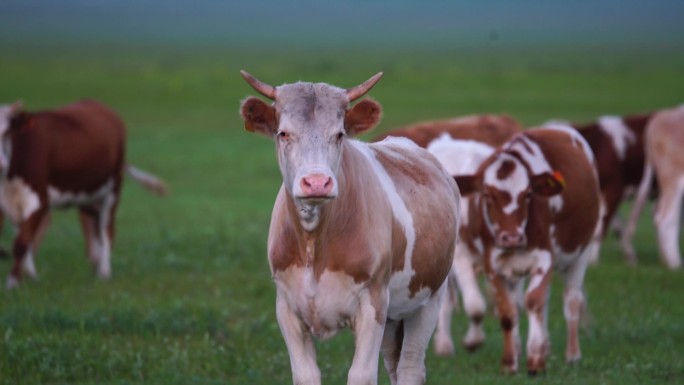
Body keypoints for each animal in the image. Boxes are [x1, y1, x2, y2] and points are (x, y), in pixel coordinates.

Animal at [0, 99, 168, 288]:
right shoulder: (9, 204)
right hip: (88, 197)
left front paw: (12, 282)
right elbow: (23, 240)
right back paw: (95, 266)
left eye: (6, 132)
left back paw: (104, 273)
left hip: (113, 191)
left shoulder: (39, 201)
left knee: (106, 231)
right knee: (94, 227)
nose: (0, 164)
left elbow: (21, 243)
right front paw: (29, 277)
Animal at [239, 70, 460, 384]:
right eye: (283, 134)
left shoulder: (373, 304)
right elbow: (306, 375)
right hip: (394, 316)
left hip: (429, 296)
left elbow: (361, 374)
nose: (317, 182)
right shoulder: (287, 308)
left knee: (410, 367)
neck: (314, 242)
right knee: (394, 364)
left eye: (339, 134)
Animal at [454, 128, 600, 372]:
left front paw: (535, 360)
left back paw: (572, 354)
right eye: (487, 194)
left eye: (528, 194)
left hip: (581, 252)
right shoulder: (493, 265)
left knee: (571, 300)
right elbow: (507, 311)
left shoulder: (545, 258)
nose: (512, 236)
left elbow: (534, 301)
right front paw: (510, 361)